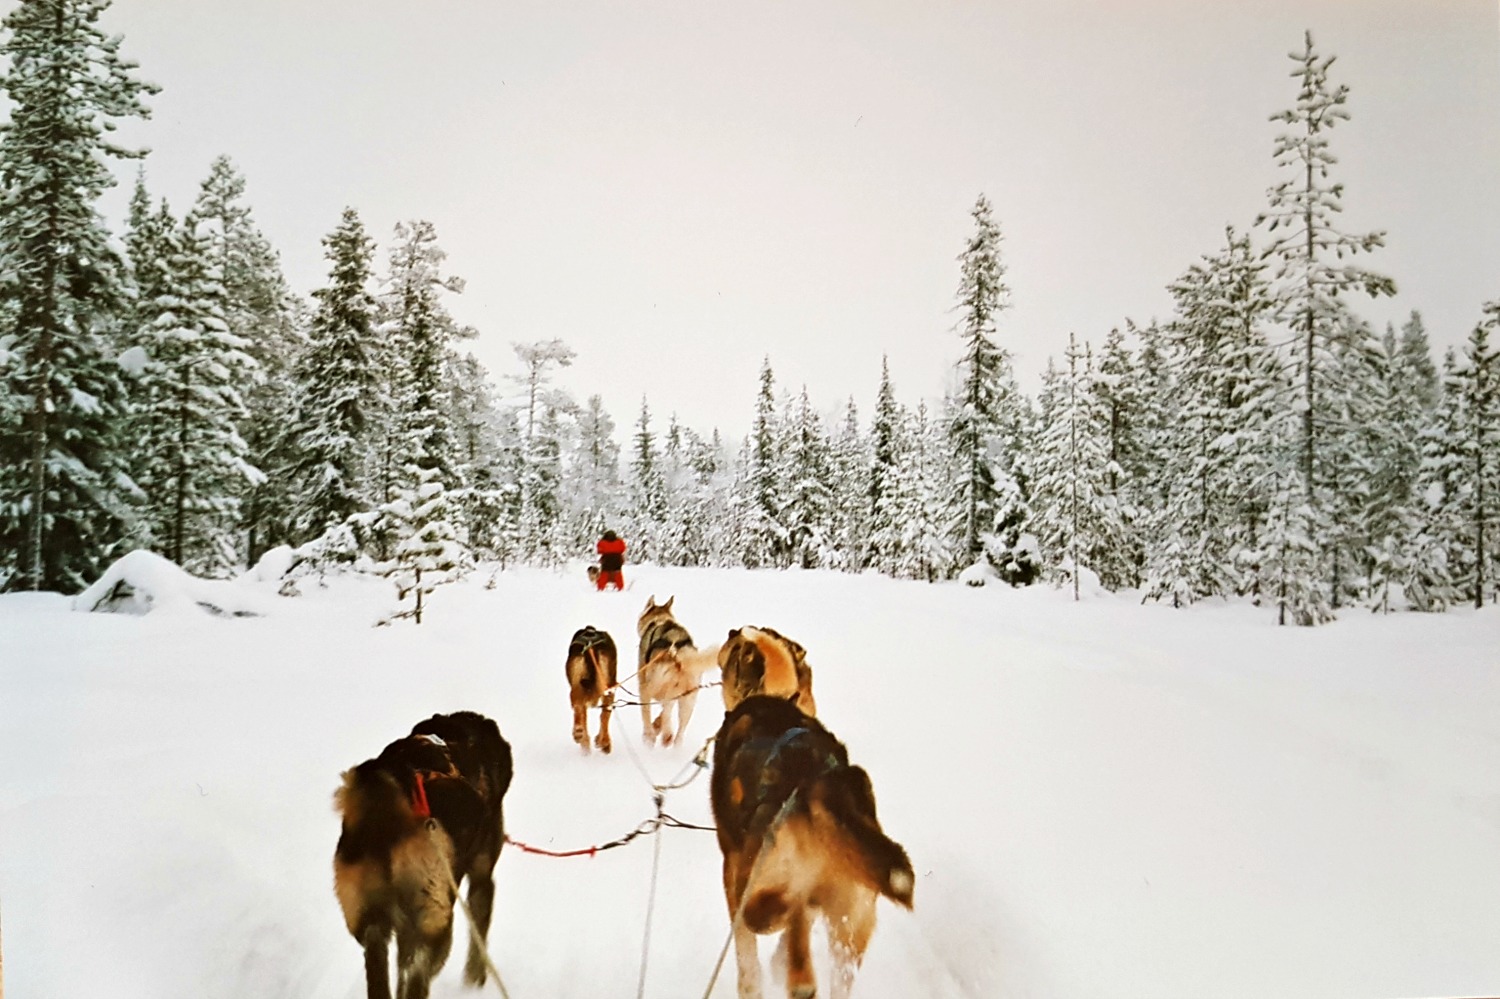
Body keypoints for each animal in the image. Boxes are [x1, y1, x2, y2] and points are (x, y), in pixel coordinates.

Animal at [331, 708, 513, 996]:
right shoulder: (482, 878)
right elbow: (479, 937)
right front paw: (475, 980)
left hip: (368, 916)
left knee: (381, 963)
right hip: (435, 919)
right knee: (417, 973)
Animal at [636, 594, 717, 744]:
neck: (660, 621)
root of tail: (678, 653)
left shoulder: (644, 685)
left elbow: (646, 713)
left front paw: (650, 733)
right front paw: (657, 725)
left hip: (654, 686)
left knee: (664, 710)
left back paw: (661, 735)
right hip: (688, 699)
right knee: (679, 732)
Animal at [711, 693, 912, 996]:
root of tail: (817, 780)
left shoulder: (732, 871)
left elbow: (745, 952)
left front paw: (751, 984)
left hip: (759, 884)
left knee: (777, 918)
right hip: (851, 925)